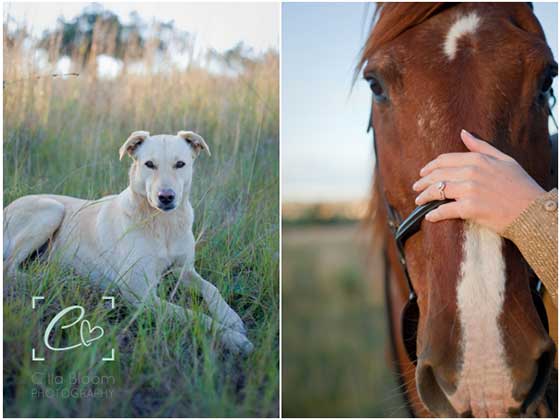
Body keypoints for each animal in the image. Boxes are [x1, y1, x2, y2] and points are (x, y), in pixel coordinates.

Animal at [3, 130, 253, 354]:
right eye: (149, 164)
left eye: (180, 164)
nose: (166, 197)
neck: (163, 224)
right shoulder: (140, 294)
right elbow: (192, 315)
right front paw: (232, 337)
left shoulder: (183, 269)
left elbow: (212, 288)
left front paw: (230, 317)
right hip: (52, 209)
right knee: (9, 269)